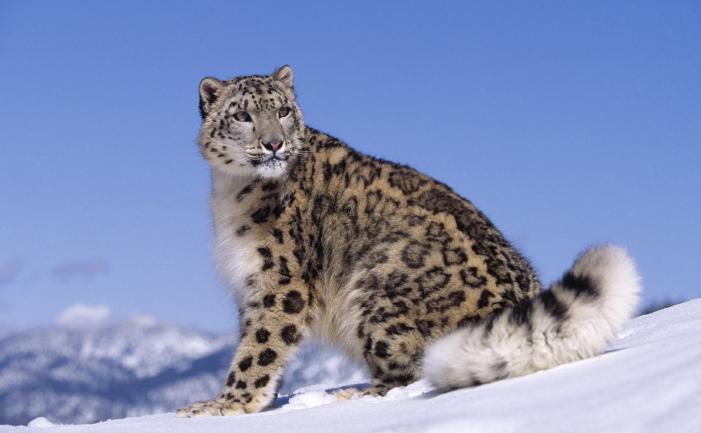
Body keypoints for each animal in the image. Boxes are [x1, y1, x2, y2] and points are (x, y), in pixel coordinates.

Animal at [177, 65, 641, 416]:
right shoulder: (251, 285)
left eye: (285, 110)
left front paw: (223, 405)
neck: (231, 191)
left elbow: (259, 347)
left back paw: (353, 395)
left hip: (374, 285)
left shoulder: (280, 280)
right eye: (243, 116)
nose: (275, 143)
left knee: (413, 371)